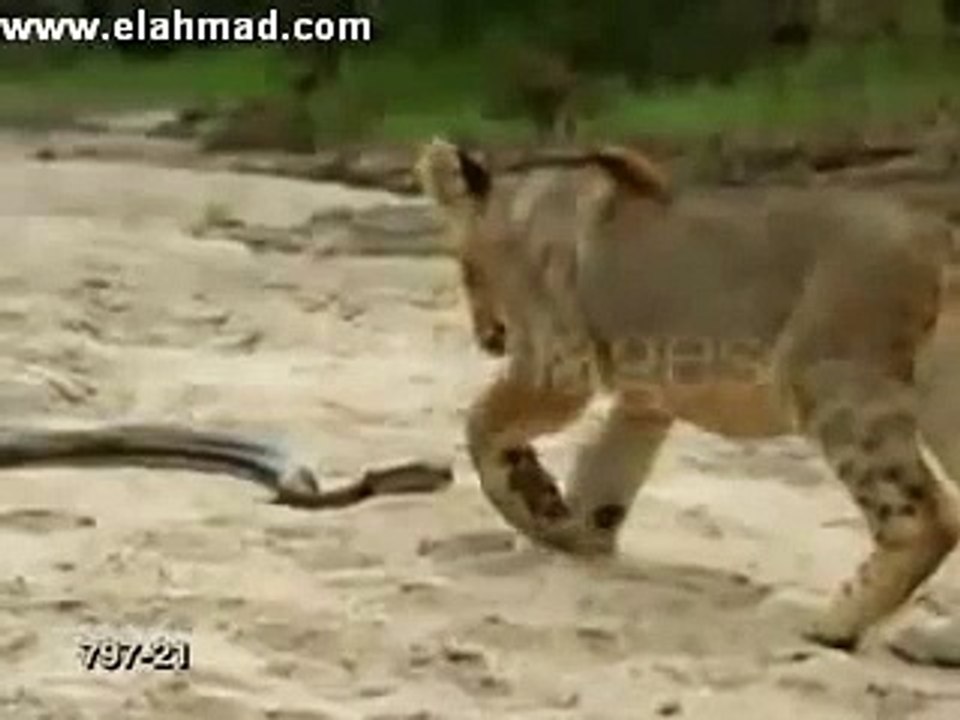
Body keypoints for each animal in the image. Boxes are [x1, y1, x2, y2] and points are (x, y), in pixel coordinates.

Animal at [414, 136, 960, 652]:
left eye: (464, 268)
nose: (487, 337)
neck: (516, 209)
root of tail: (940, 239)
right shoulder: (644, 400)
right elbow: (605, 477)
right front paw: (571, 535)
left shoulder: (559, 365)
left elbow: (481, 423)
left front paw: (535, 503)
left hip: (830, 382)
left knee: (926, 518)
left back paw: (832, 626)